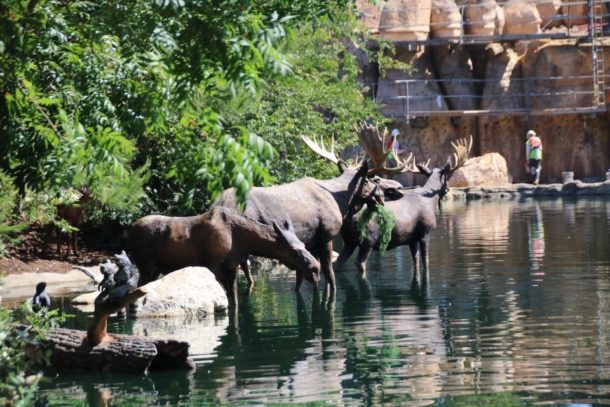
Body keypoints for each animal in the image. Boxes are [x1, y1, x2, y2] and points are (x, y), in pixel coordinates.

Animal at [128, 207, 318, 302]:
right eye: (293, 252)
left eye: (303, 245)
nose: (316, 268)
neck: (242, 242)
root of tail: (129, 230)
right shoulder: (214, 267)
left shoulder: (232, 268)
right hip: (146, 266)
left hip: (155, 269)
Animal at [332, 131, 470, 284]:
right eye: (446, 178)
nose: (448, 189)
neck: (430, 201)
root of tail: (348, 217)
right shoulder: (425, 232)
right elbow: (426, 261)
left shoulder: (412, 239)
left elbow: (415, 261)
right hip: (368, 239)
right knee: (359, 262)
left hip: (349, 241)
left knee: (337, 263)